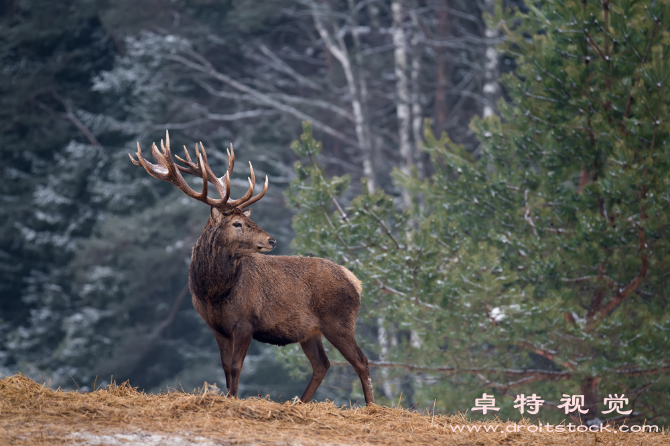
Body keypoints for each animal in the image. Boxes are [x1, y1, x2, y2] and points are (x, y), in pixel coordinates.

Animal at [129, 132, 376, 404]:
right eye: (236, 223)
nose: (272, 240)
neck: (214, 294)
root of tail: (355, 280)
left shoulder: (246, 322)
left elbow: (236, 366)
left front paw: (235, 399)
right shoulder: (216, 327)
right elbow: (225, 367)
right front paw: (228, 397)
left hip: (339, 320)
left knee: (361, 360)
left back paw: (370, 406)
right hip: (310, 332)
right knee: (322, 364)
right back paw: (299, 402)